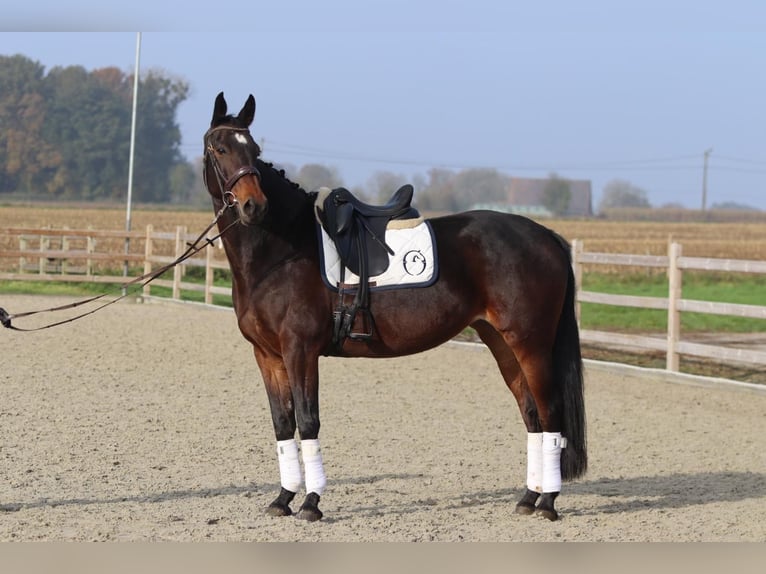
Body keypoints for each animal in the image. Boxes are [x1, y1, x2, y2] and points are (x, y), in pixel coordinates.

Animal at [202, 92, 588, 524]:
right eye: (220, 148)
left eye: (254, 150)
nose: (253, 206)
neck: (283, 250)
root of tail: (547, 236)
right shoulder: (267, 355)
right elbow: (283, 424)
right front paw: (283, 498)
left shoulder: (300, 351)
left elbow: (308, 420)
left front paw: (311, 503)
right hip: (503, 343)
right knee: (532, 414)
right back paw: (528, 497)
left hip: (531, 344)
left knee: (551, 412)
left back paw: (549, 503)